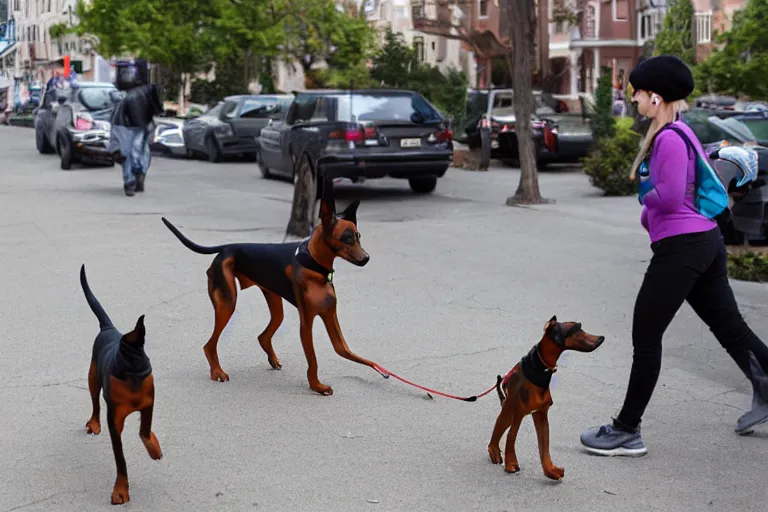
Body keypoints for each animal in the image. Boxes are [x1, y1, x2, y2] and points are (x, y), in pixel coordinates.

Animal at [79, 266, 162, 506]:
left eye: (143, 359)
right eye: (119, 363)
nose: (144, 372)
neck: (132, 382)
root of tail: (109, 328)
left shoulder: (149, 403)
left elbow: (145, 430)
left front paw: (154, 449)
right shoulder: (114, 421)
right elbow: (120, 459)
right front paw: (120, 490)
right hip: (92, 378)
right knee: (95, 404)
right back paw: (94, 423)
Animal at [161, 186, 380, 394]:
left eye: (358, 236)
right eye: (346, 238)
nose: (366, 258)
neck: (314, 264)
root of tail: (226, 248)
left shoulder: (329, 316)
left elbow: (344, 350)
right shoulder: (306, 324)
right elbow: (313, 360)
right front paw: (317, 386)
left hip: (274, 304)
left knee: (263, 336)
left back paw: (271, 359)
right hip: (227, 304)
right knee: (209, 345)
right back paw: (217, 372)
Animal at [488, 316, 604, 480]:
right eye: (575, 329)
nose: (601, 338)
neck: (541, 368)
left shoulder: (541, 414)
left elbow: (544, 447)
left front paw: (550, 470)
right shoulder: (519, 413)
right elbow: (511, 436)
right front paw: (511, 464)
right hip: (509, 409)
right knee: (500, 426)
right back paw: (493, 450)